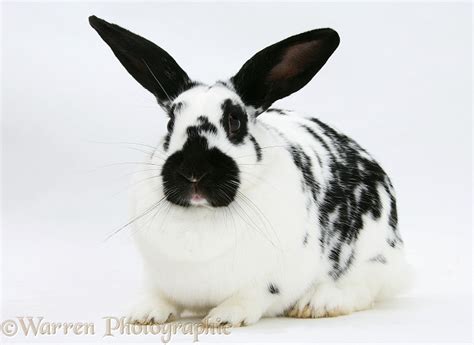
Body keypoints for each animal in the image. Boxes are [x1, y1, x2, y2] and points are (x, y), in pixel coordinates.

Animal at [89, 14, 412, 326]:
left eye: (235, 121)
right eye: (170, 122)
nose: (194, 171)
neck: (202, 215)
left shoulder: (271, 279)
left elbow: (252, 296)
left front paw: (222, 318)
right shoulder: (158, 276)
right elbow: (159, 295)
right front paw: (143, 314)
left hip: (373, 259)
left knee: (363, 289)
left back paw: (317, 304)